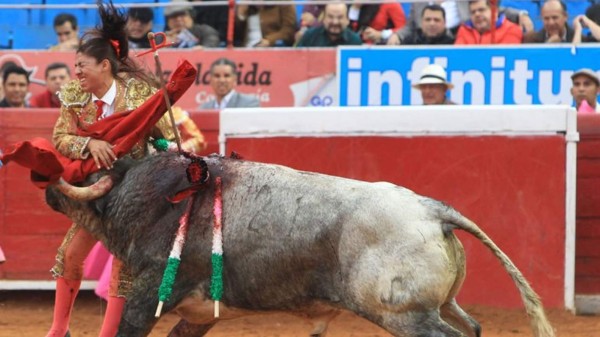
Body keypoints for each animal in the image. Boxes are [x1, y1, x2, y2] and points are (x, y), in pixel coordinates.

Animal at [44, 152, 556, 336]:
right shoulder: (198, 316)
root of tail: (432, 209)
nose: (47, 185)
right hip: (443, 306)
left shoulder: (148, 296)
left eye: (83, 168)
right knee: (473, 327)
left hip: (405, 315)